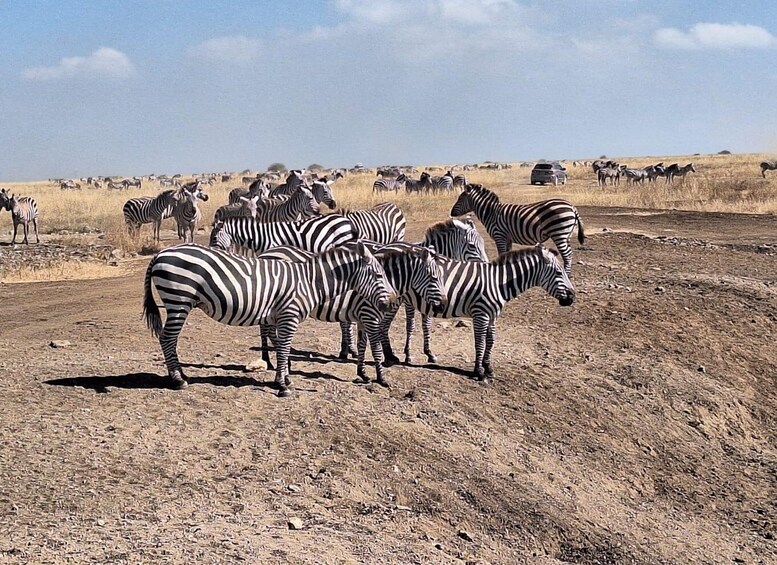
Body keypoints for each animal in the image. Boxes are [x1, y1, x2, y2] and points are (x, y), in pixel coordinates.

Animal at [142, 240, 394, 394]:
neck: (308, 282)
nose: (391, 302)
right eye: (378, 275)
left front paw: (282, 378)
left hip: (177, 301)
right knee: (167, 339)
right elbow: (283, 348)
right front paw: (283, 385)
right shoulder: (289, 315)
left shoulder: (278, 317)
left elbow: (281, 346)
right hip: (179, 300)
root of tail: (160, 253)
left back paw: (181, 374)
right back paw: (178, 380)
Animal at [260, 240, 446, 386]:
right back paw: (270, 362)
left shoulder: (363, 318)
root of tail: (266, 253)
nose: (443, 305)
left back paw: (280, 363)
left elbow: (362, 345)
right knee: (266, 331)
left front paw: (362, 373)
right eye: (434, 278)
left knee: (269, 332)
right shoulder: (370, 316)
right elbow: (376, 348)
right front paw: (381, 378)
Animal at [398, 243, 572, 378]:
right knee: (407, 326)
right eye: (559, 272)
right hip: (403, 300)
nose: (572, 297)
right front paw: (478, 371)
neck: (497, 282)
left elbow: (490, 340)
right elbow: (480, 342)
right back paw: (407, 355)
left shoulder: (492, 315)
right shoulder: (480, 313)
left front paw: (488, 367)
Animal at [448, 184, 584, 274]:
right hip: (566, 234)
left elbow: (502, 253)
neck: (491, 213)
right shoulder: (507, 238)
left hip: (559, 233)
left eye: (459, 199)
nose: (451, 213)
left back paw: (566, 274)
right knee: (569, 252)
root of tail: (572, 207)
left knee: (567, 254)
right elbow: (507, 254)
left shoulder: (499, 236)